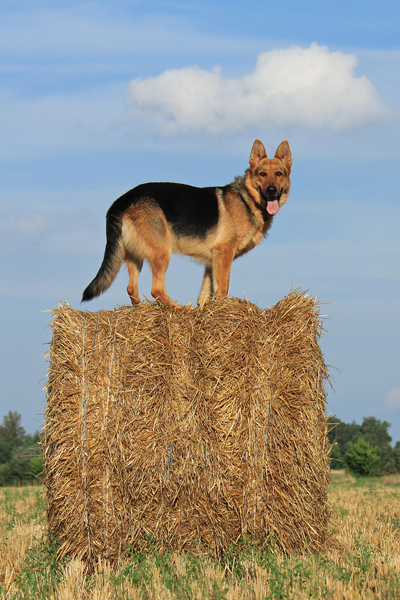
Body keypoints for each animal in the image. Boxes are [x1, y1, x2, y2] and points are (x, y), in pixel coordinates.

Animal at [81, 140, 292, 308]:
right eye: (262, 174)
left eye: (279, 174)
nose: (272, 190)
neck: (247, 199)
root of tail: (122, 200)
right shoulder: (224, 253)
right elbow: (222, 288)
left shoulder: (212, 260)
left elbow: (206, 293)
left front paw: (205, 310)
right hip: (161, 252)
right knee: (156, 289)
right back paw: (180, 308)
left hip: (135, 255)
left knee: (132, 289)